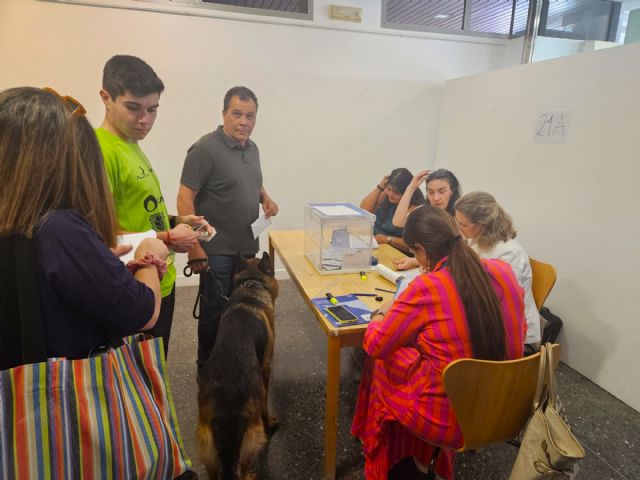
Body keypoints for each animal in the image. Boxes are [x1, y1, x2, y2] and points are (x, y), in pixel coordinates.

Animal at [196, 253, 278, 478]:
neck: (251, 285)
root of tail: (224, 412)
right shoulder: (266, 367)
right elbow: (266, 401)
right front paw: (271, 421)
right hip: (253, 438)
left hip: (208, 452)